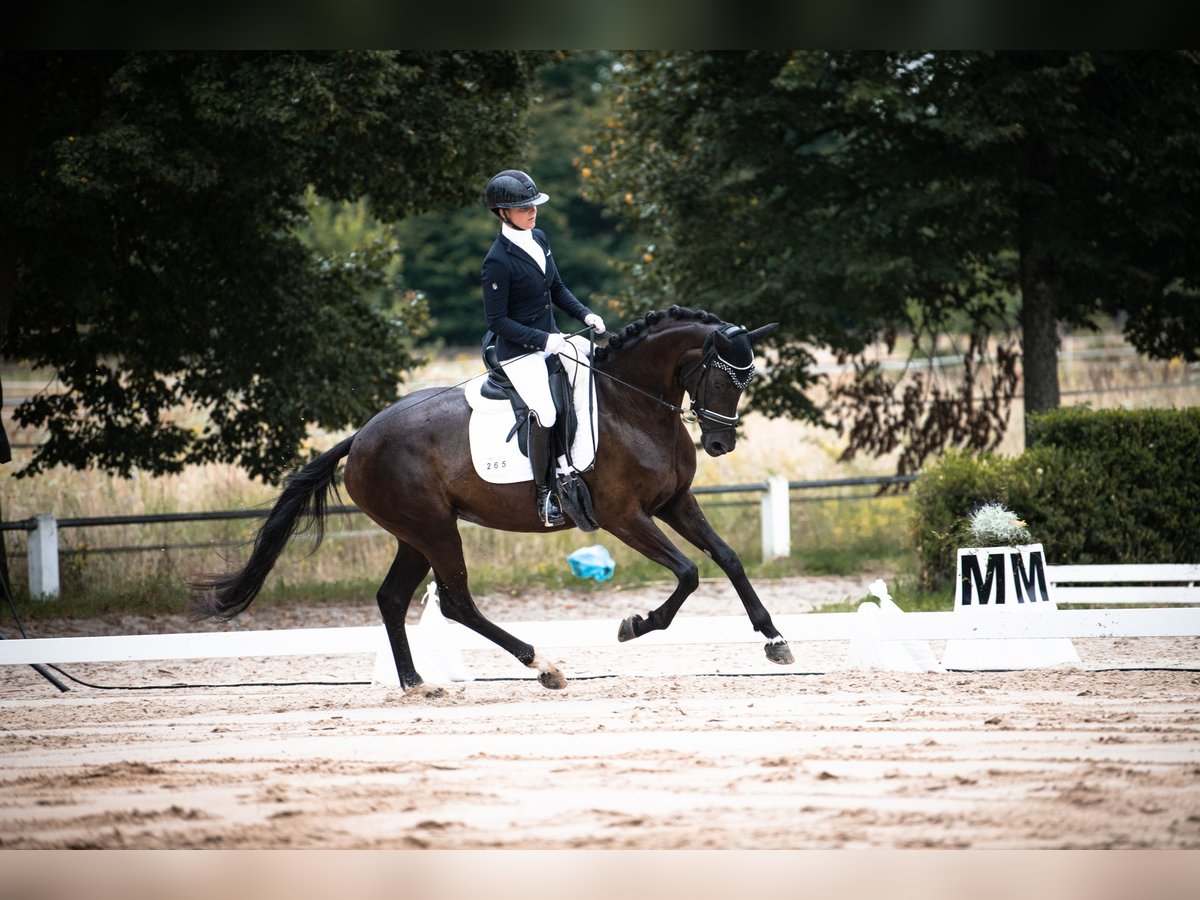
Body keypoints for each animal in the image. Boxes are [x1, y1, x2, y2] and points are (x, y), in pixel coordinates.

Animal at [189, 307, 796, 696]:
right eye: (724, 377)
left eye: (745, 381)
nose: (720, 444)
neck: (632, 403)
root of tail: (360, 437)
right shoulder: (624, 516)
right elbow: (689, 572)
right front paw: (636, 624)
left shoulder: (676, 502)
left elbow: (728, 559)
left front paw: (775, 640)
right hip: (435, 529)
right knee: (456, 602)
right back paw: (543, 666)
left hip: (416, 533)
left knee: (392, 598)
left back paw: (416, 684)